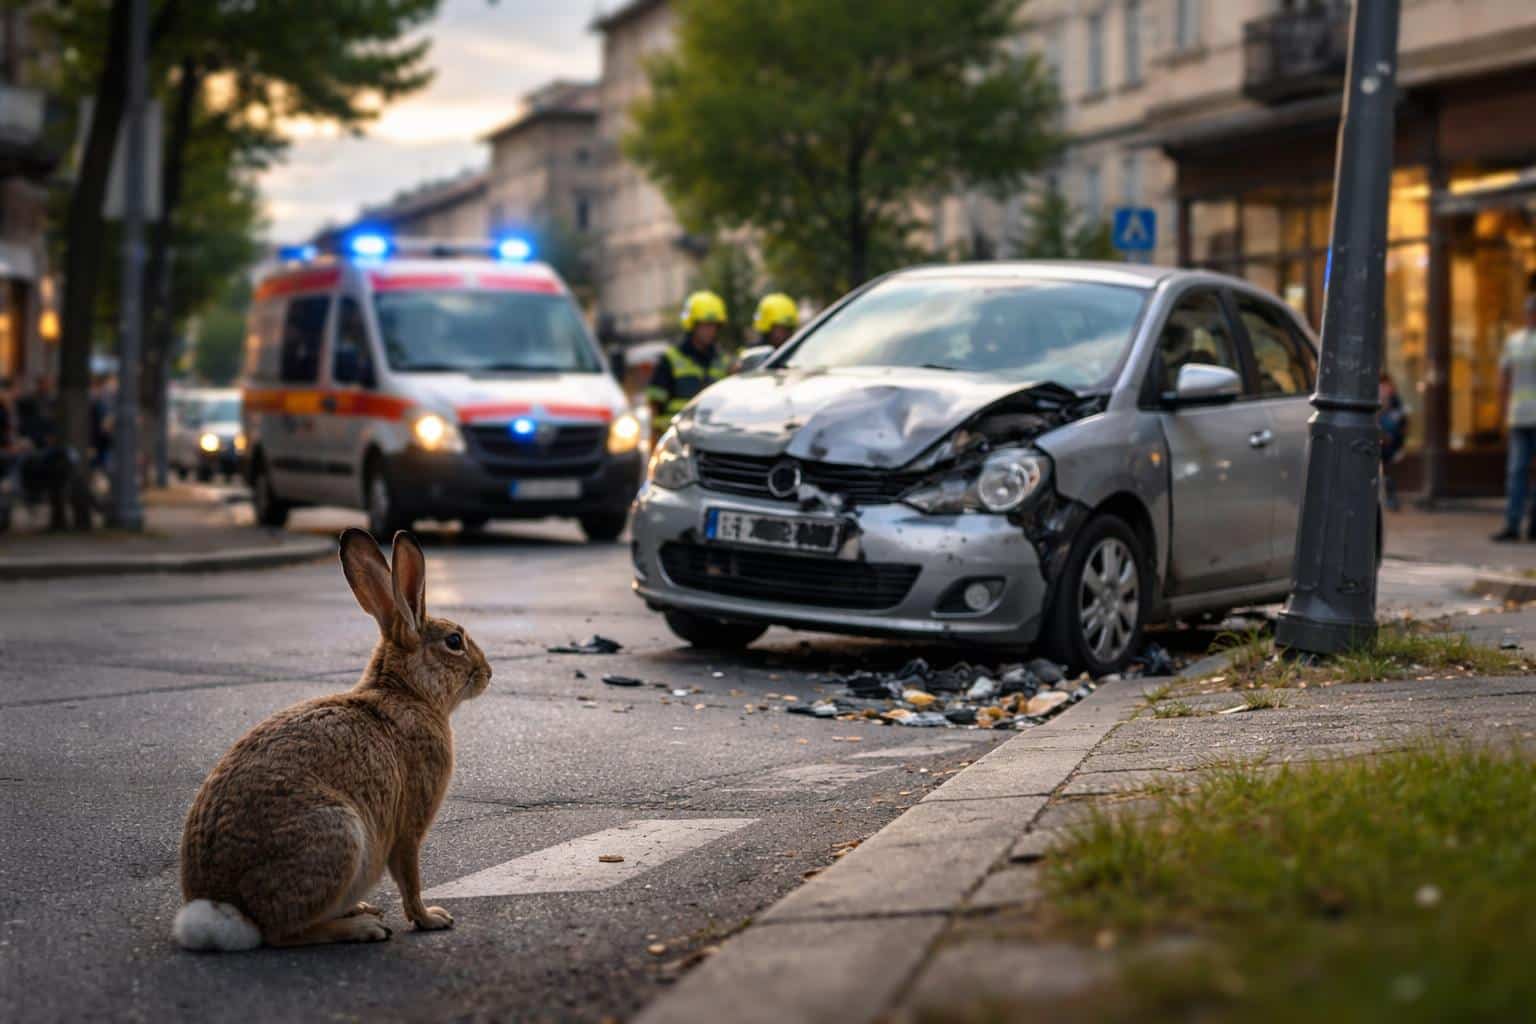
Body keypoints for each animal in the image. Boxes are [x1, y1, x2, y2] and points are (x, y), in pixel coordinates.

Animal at [173, 528, 491, 951]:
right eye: (454, 641)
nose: (488, 673)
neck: (408, 693)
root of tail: (223, 910)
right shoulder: (408, 823)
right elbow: (410, 878)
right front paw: (431, 918)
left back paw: (359, 911)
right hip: (341, 837)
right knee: (282, 933)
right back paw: (362, 927)